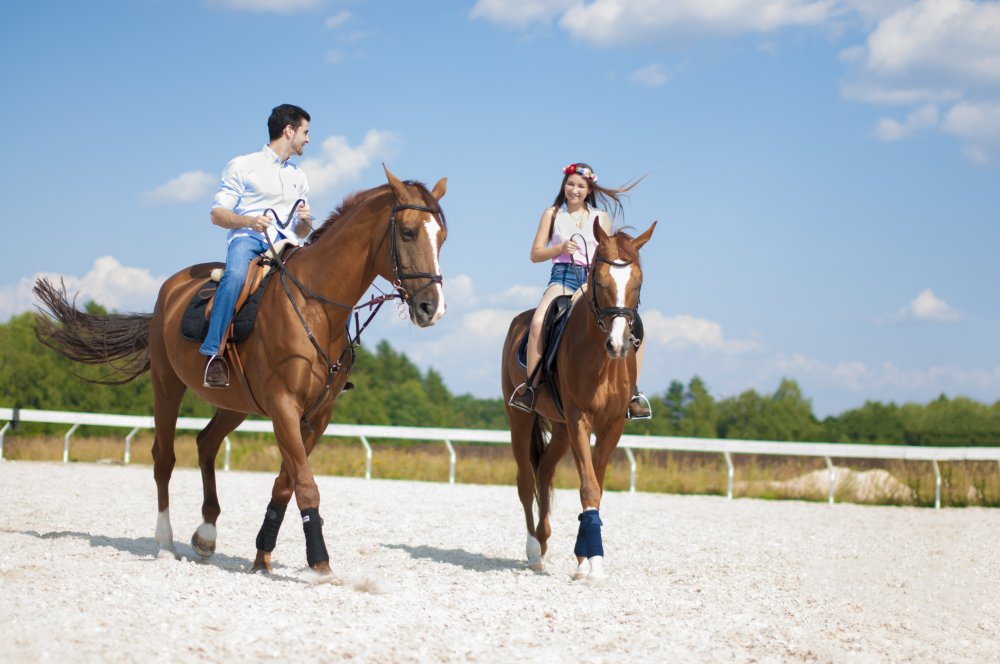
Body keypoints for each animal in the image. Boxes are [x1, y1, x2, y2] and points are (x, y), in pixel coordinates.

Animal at [35, 167, 448, 576]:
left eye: (441, 237)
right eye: (408, 231)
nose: (432, 307)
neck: (314, 305)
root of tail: (168, 292)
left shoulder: (317, 416)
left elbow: (286, 483)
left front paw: (262, 555)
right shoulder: (284, 406)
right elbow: (305, 483)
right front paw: (319, 563)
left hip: (235, 404)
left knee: (206, 443)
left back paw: (206, 534)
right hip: (167, 387)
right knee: (164, 458)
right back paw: (166, 543)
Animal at [500, 219, 656, 580]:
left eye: (638, 283)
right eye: (599, 281)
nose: (619, 345)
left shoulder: (611, 425)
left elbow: (597, 485)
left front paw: (585, 560)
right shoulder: (579, 419)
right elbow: (588, 486)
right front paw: (593, 562)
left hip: (559, 428)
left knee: (543, 473)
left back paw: (544, 540)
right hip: (521, 418)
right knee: (525, 480)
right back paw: (533, 550)